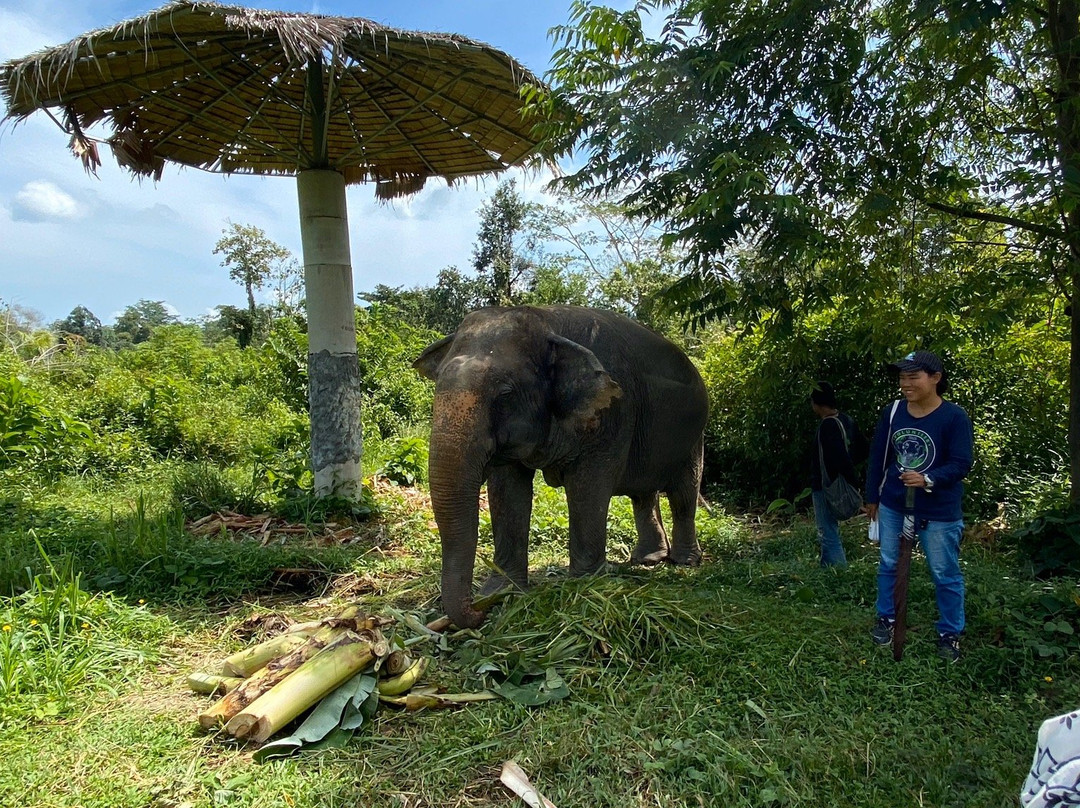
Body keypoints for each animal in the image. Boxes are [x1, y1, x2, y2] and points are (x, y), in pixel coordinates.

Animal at [412, 306, 708, 626]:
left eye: (504, 393)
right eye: (437, 385)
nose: (480, 609)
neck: (546, 320)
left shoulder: (612, 413)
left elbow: (587, 488)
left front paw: (584, 589)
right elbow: (507, 491)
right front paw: (503, 592)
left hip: (694, 435)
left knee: (683, 493)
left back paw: (685, 562)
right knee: (643, 494)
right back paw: (648, 559)